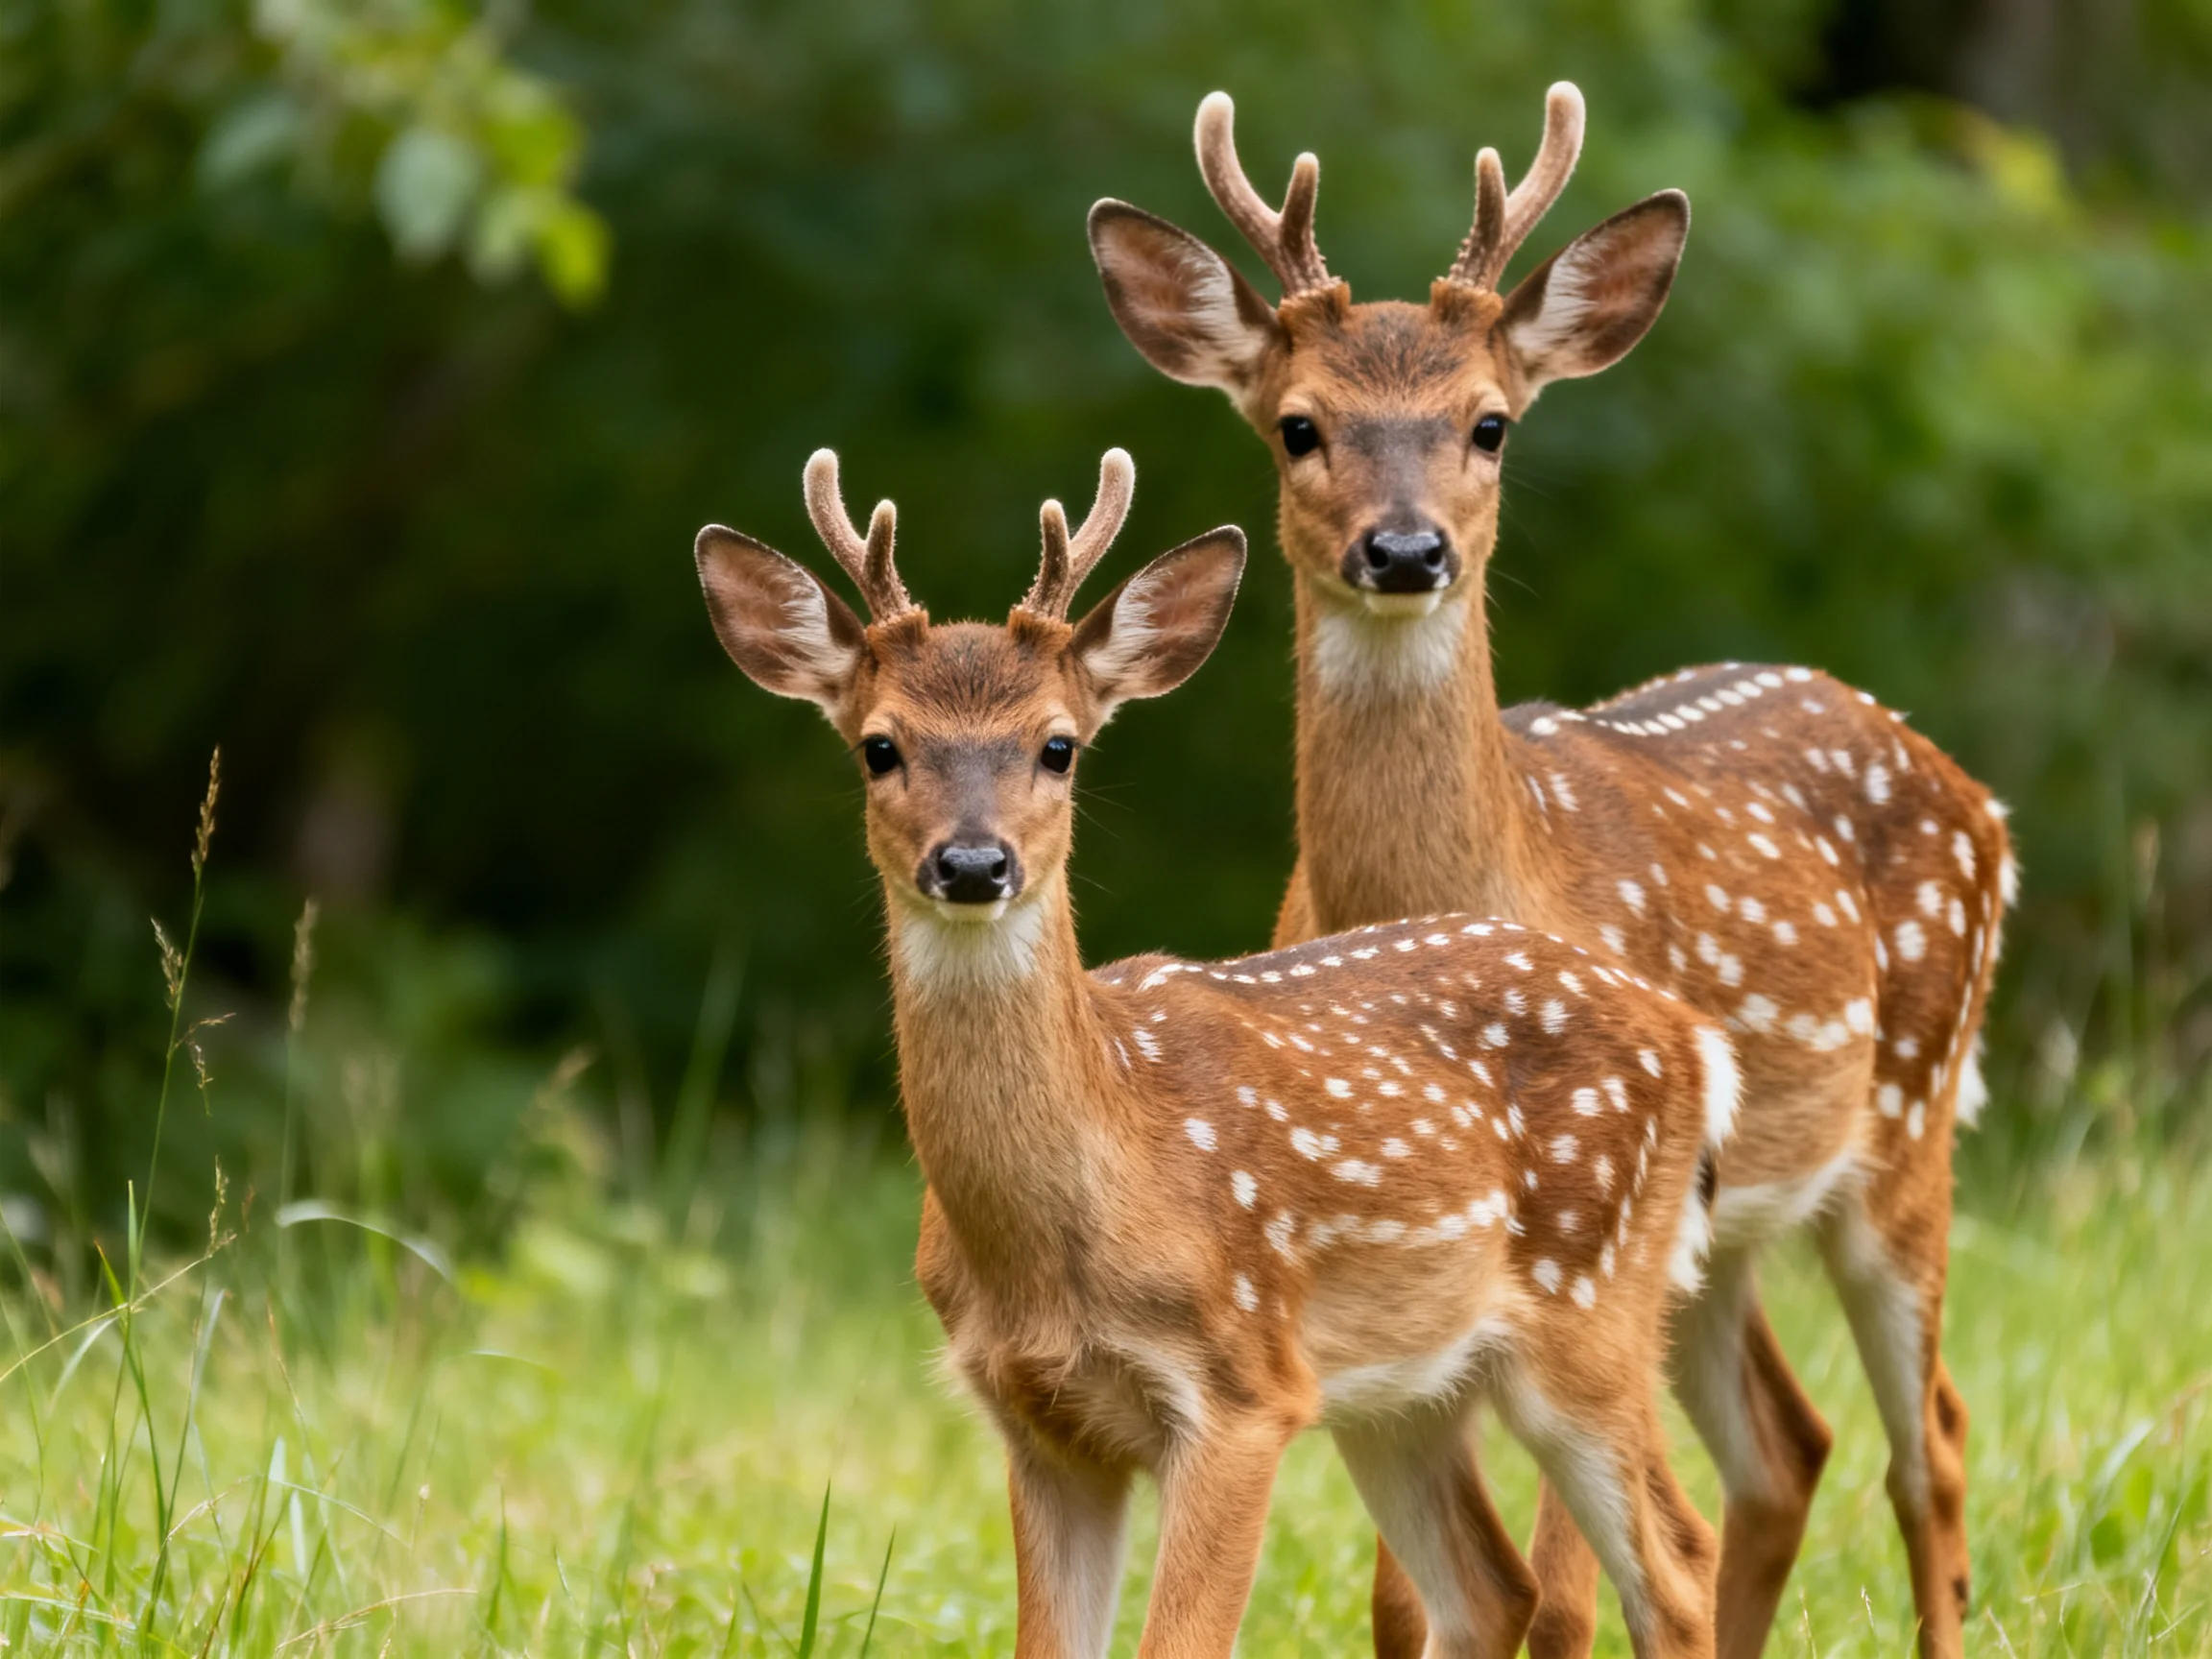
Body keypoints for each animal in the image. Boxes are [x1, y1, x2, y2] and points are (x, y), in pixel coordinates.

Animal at [693, 447, 1745, 1657]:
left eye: (1058, 745)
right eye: (880, 747)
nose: (972, 863)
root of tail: (1695, 1039)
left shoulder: (1242, 1391)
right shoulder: (1037, 1422)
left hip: (1592, 1307)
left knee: (1678, 1560)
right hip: (1405, 1387)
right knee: (1491, 1588)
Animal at [1087, 86, 2014, 1659]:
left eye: (1491, 422)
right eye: (1297, 426)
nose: (1405, 551)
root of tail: (1978, 797)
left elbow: (1566, 1602)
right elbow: (1407, 1602)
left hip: (1907, 1119)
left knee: (1930, 1443)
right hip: (1706, 1243)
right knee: (1789, 1445)